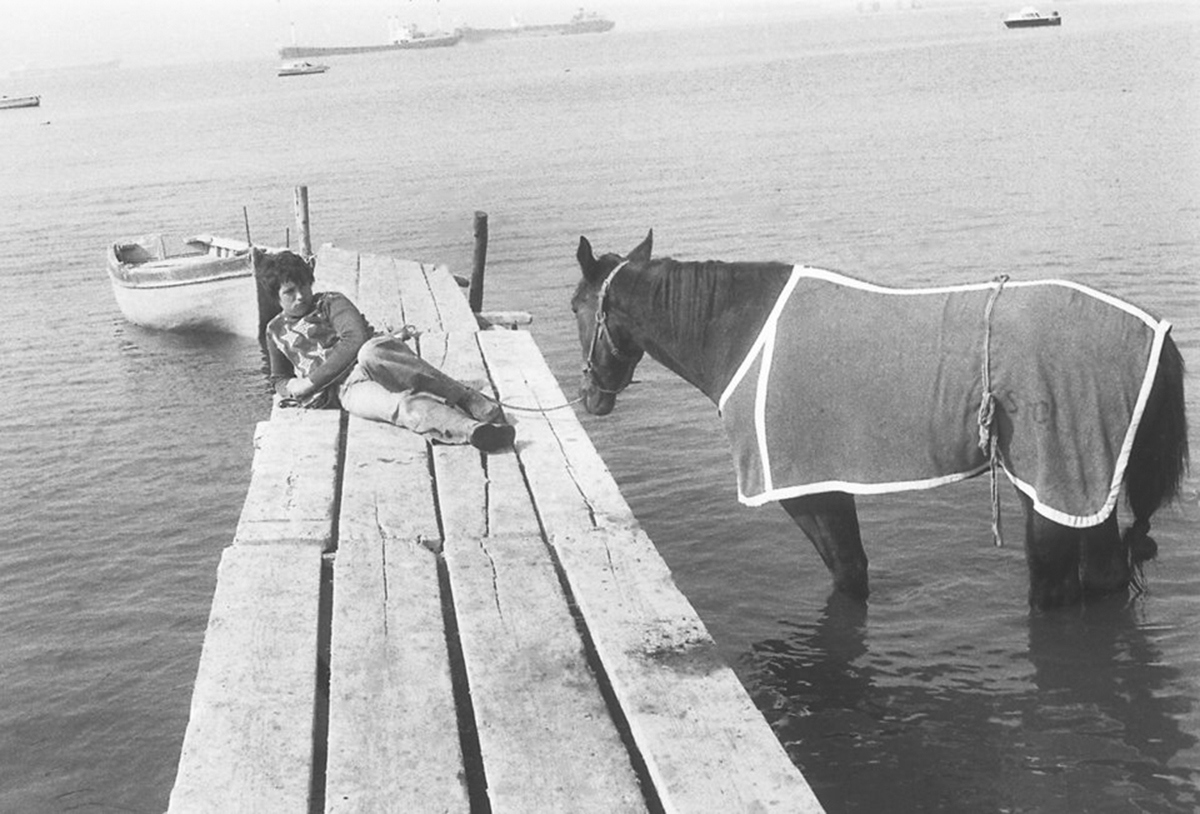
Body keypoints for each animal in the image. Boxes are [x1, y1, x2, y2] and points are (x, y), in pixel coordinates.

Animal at [573, 231, 1190, 612]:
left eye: (577, 306)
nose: (591, 397)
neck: (738, 331)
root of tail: (1157, 336)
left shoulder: (812, 491)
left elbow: (849, 576)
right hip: (1082, 490)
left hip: (1060, 485)